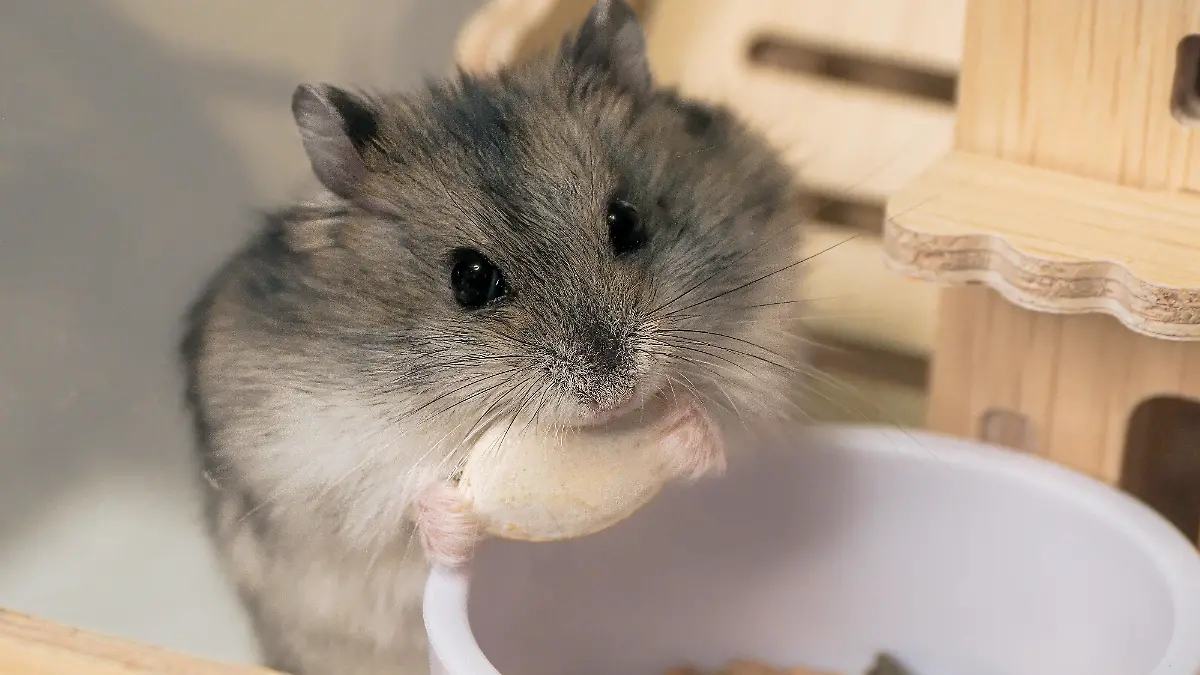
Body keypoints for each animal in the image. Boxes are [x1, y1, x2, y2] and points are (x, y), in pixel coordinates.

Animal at [180, 1, 807, 673]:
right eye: (471, 279)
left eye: (627, 222)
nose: (613, 391)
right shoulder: (312, 465)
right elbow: (399, 505)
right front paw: (455, 518)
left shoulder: (765, 362)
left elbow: (726, 430)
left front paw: (686, 425)